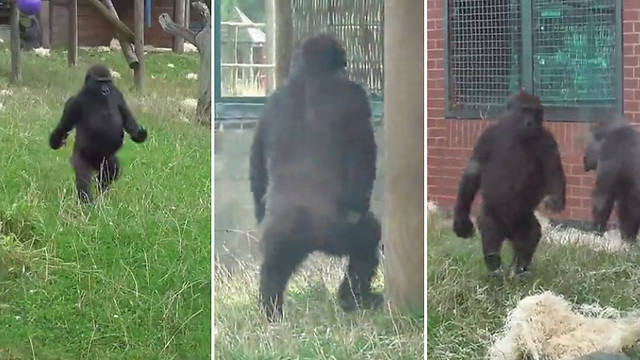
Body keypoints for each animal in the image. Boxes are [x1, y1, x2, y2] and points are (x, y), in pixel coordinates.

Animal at [49, 64, 148, 202]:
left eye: (107, 81)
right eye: (99, 82)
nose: (105, 90)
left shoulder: (118, 94)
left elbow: (128, 120)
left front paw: (139, 133)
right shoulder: (74, 102)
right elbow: (63, 127)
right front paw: (56, 141)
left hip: (105, 161)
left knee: (111, 169)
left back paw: (102, 195)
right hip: (83, 159)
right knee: (83, 176)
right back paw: (87, 201)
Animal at [249, 33, 380, 320]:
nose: (345, 68)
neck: (311, 74)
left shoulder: (268, 106)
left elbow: (257, 164)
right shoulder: (356, 98)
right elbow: (364, 159)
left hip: (279, 240)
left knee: (272, 270)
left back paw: (271, 312)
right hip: (335, 232)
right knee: (367, 240)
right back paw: (354, 298)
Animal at [452, 91, 568, 278]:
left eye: (536, 112)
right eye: (525, 111)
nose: (530, 122)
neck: (515, 131)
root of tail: (508, 233)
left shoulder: (548, 139)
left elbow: (553, 171)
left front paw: (555, 201)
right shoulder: (487, 136)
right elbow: (473, 172)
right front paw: (461, 220)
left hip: (522, 221)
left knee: (530, 235)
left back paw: (519, 271)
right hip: (494, 217)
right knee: (491, 235)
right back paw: (496, 270)